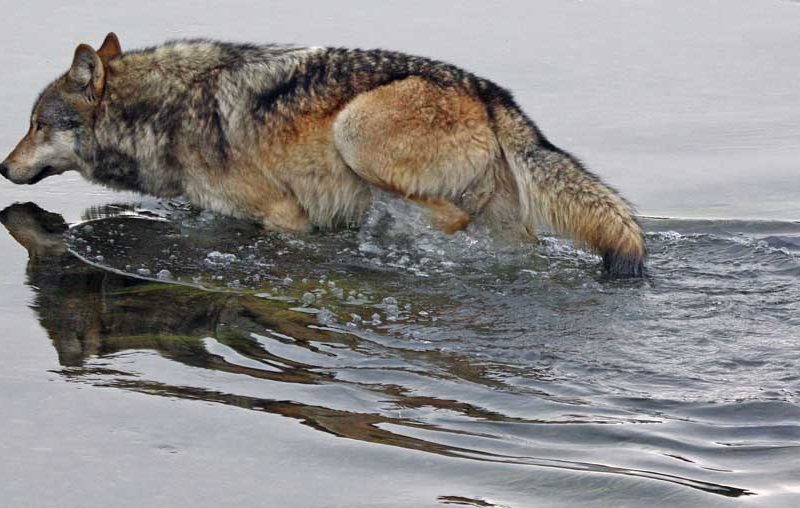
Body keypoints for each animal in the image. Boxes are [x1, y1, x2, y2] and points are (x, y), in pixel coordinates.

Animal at [0, 33, 648, 276]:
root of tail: (490, 92)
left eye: (35, 125)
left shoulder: (286, 216)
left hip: (353, 132)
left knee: (447, 215)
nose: (2, 167)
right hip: (511, 227)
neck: (167, 110)